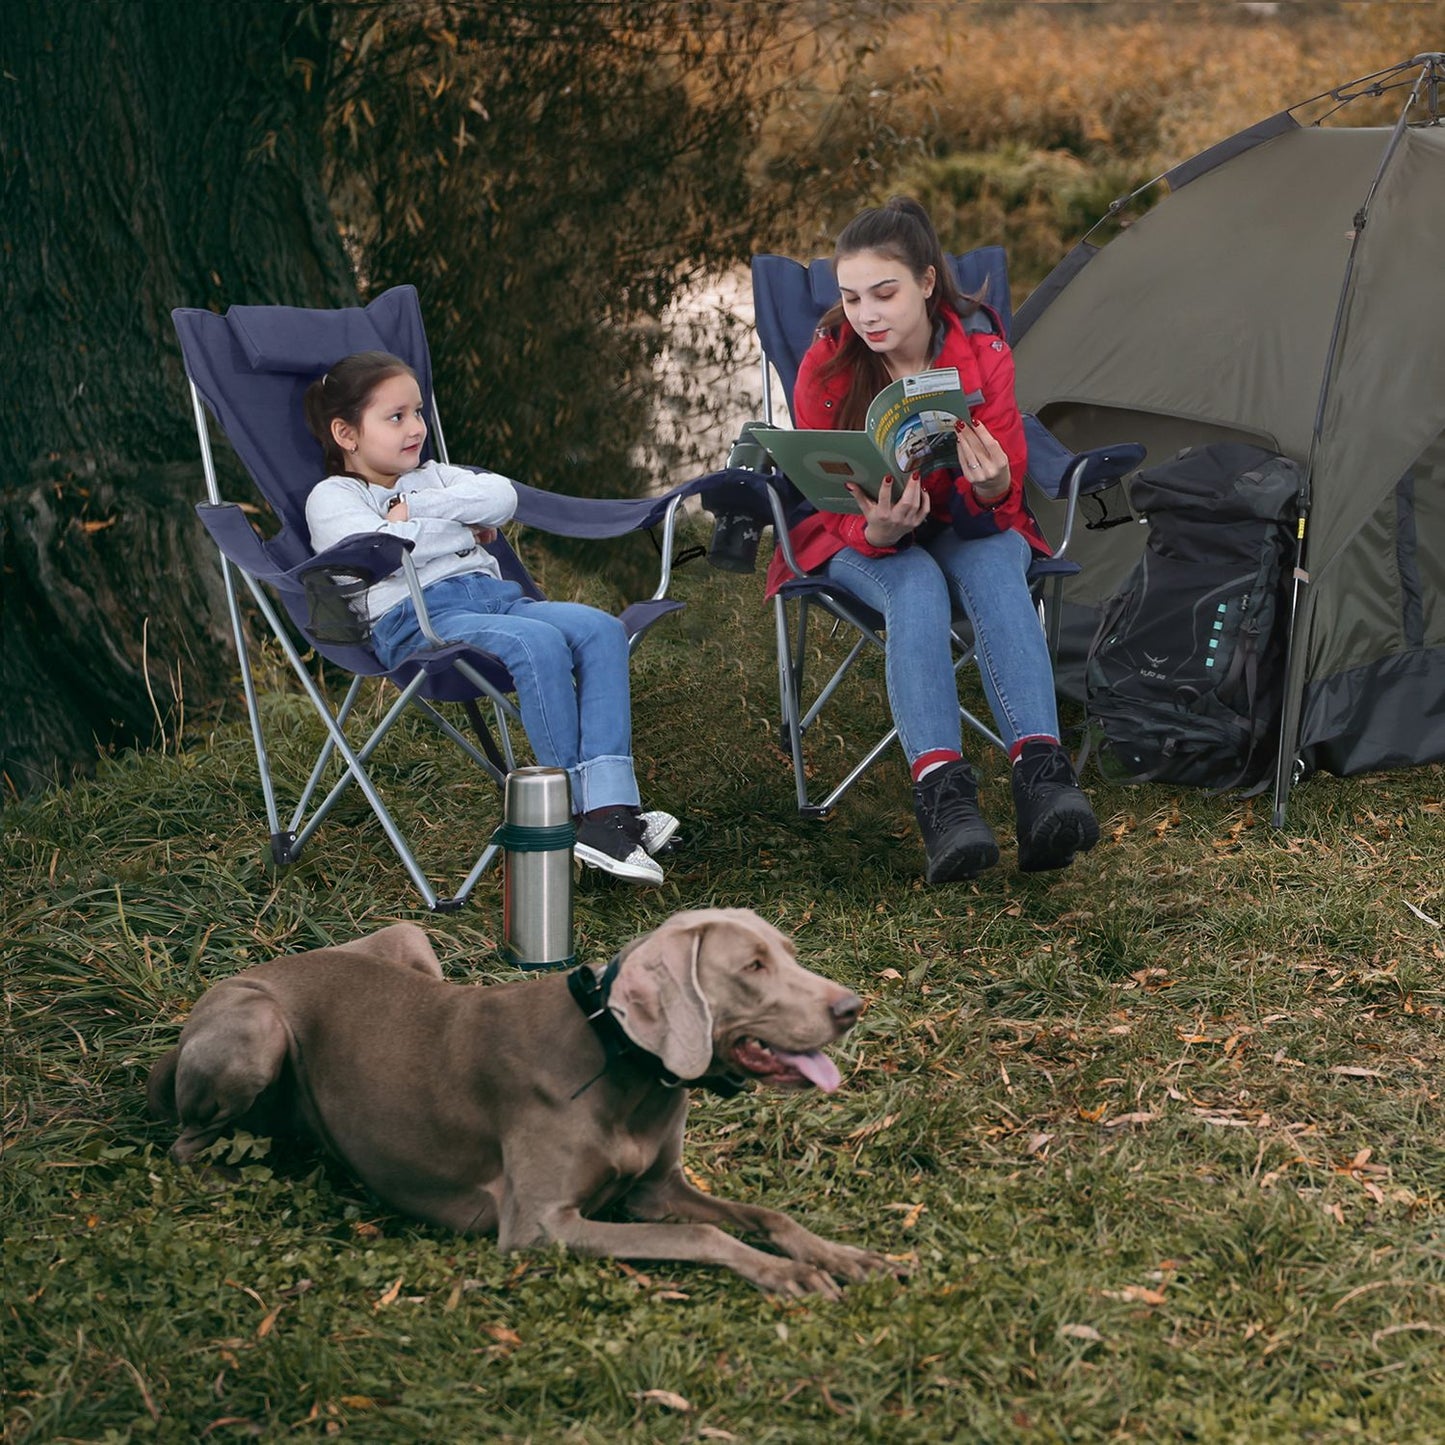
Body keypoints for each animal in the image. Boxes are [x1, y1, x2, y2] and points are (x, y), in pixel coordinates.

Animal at [146, 901, 895, 1300]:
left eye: (788, 952)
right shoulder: (538, 1226)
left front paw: (839, 1254)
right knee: (183, 1145)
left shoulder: (655, 1189)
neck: (616, 1060)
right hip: (258, 1029)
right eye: (752, 967)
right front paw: (787, 1273)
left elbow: (763, 1212)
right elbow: (702, 1233)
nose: (852, 1006)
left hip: (409, 937)